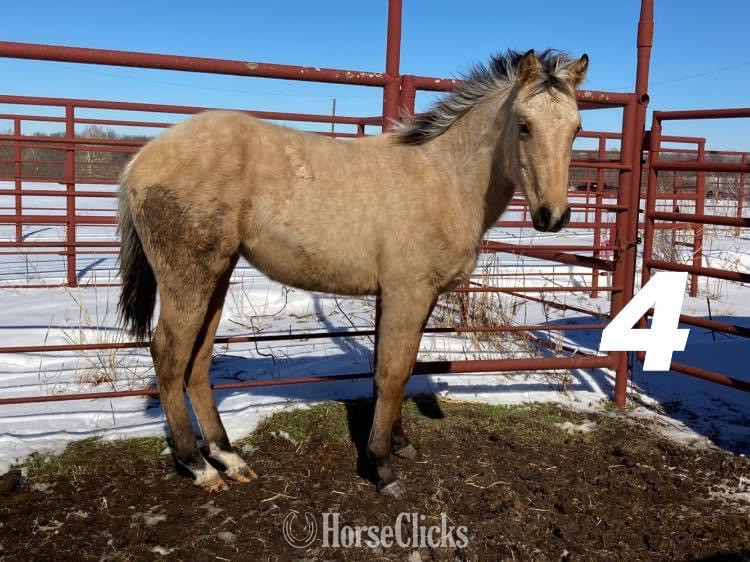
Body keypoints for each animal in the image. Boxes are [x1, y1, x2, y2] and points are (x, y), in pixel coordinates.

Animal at [117, 49, 588, 497]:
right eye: (524, 125)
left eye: (577, 129)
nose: (552, 216)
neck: (444, 178)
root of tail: (140, 159)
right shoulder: (407, 293)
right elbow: (392, 373)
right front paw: (382, 467)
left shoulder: (412, 296)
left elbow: (397, 367)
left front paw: (398, 443)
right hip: (189, 277)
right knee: (169, 355)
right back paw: (198, 467)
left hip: (217, 273)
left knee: (197, 361)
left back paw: (229, 459)